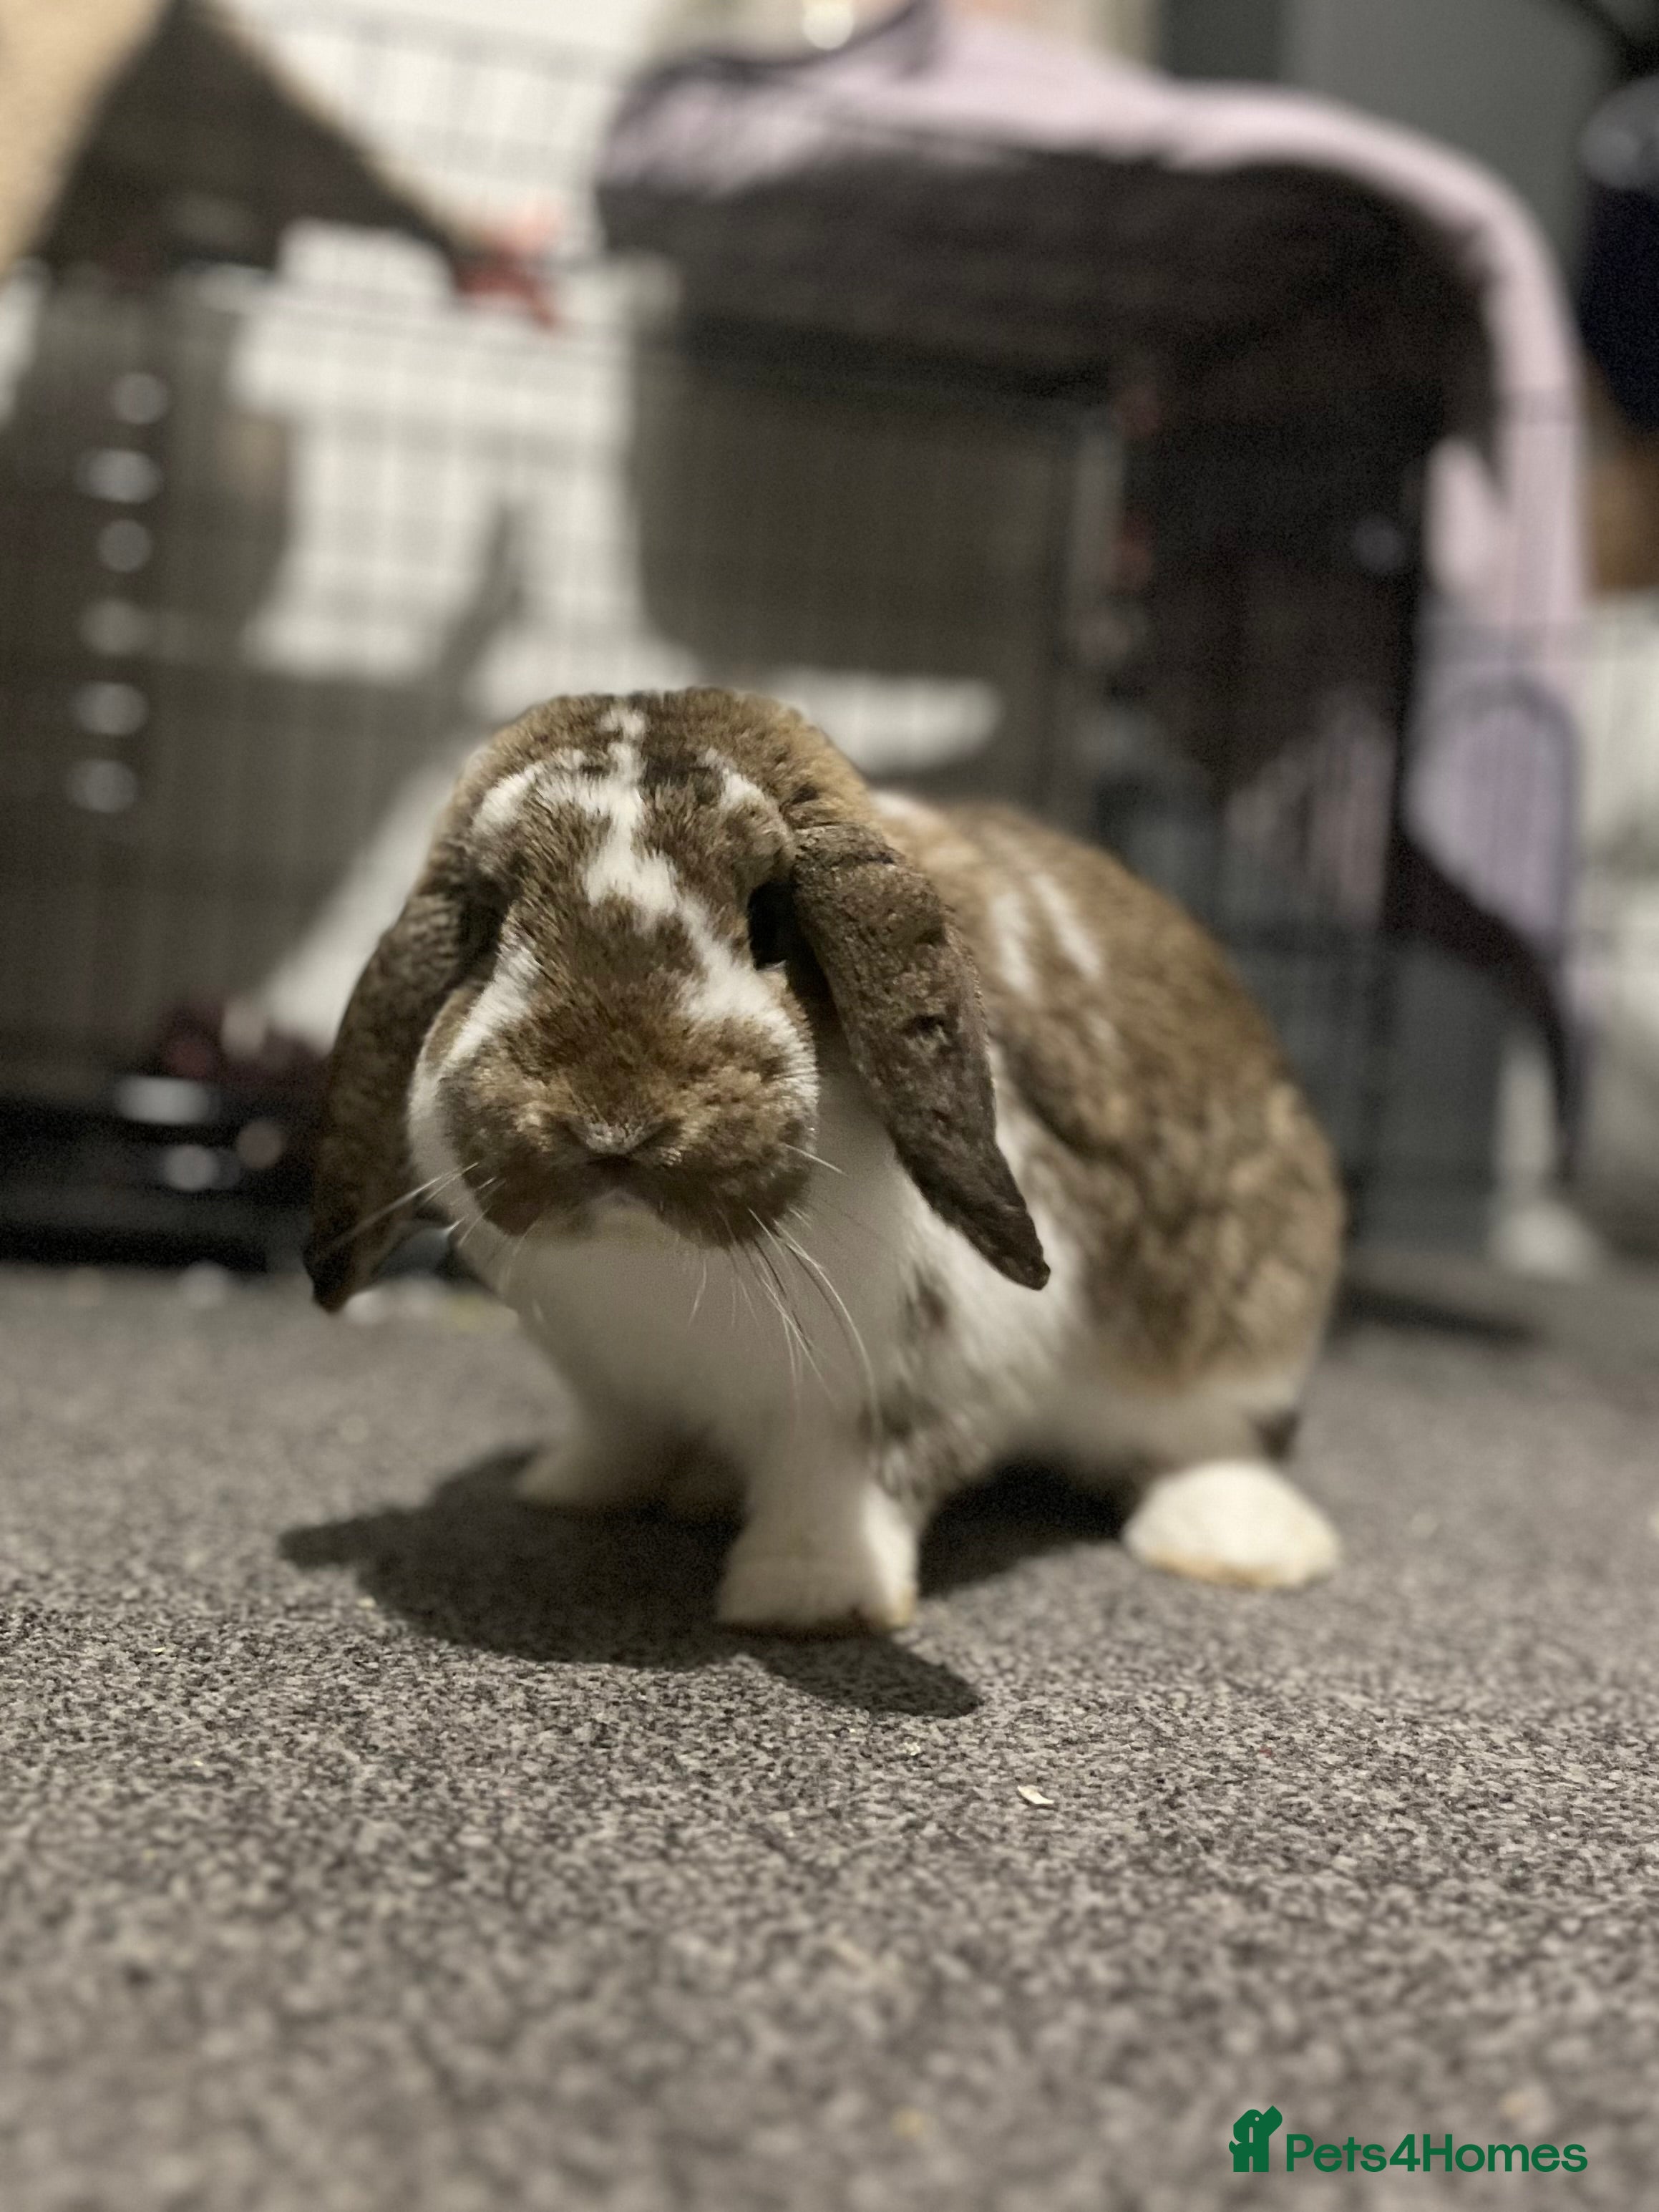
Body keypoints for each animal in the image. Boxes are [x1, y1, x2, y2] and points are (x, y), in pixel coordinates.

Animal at [306, 687, 1345, 1634]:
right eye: (485, 924)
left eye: (771, 917)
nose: (611, 1127)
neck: (650, 1268)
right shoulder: (608, 1384)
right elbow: (618, 1439)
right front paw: (570, 1491)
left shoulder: (902, 1389)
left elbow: (846, 1494)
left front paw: (807, 1601)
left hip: (1235, 1327)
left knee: (1210, 1441)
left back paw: (1238, 1546)